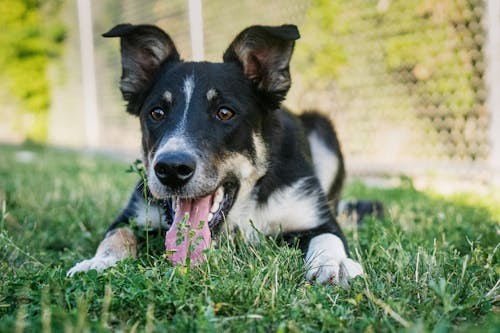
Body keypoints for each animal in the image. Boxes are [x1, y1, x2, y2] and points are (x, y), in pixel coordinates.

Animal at [66, 22, 364, 286]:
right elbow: (117, 234)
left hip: (323, 129)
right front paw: (99, 262)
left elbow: (328, 237)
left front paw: (334, 263)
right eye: (157, 113)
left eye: (224, 113)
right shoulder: (135, 212)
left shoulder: (314, 214)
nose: (171, 169)